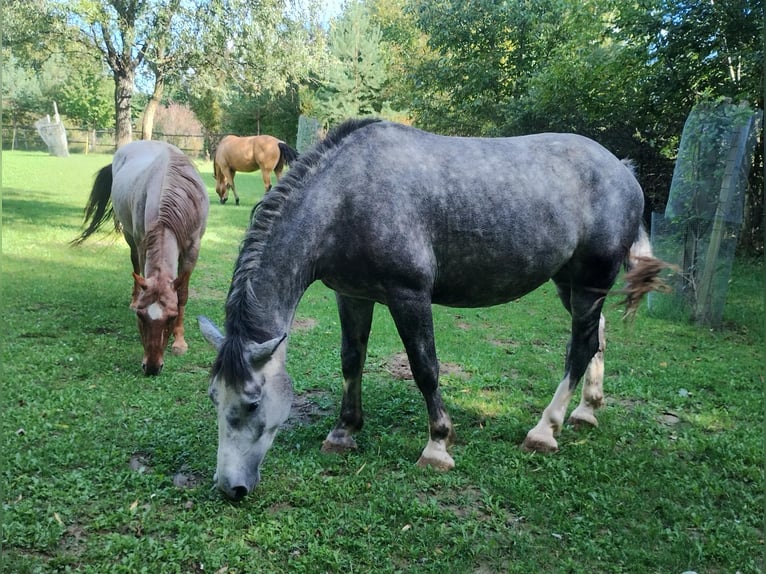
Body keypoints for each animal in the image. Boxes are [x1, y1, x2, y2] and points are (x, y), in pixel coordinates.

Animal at [72, 140, 209, 376]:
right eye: (140, 316)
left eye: (171, 317)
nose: (152, 367)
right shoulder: (143, 240)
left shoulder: (193, 248)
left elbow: (182, 294)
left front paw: (179, 343)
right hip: (130, 237)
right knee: (135, 263)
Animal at [198, 118, 669, 500]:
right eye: (214, 397)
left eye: (253, 403)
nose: (230, 487)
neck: (346, 198)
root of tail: (623, 169)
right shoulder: (353, 295)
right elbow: (351, 359)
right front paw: (343, 432)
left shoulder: (409, 296)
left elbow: (425, 368)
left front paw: (437, 446)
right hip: (568, 284)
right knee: (597, 336)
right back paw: (587, 411)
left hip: (589, 283)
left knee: (581, 346)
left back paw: (544, 430)